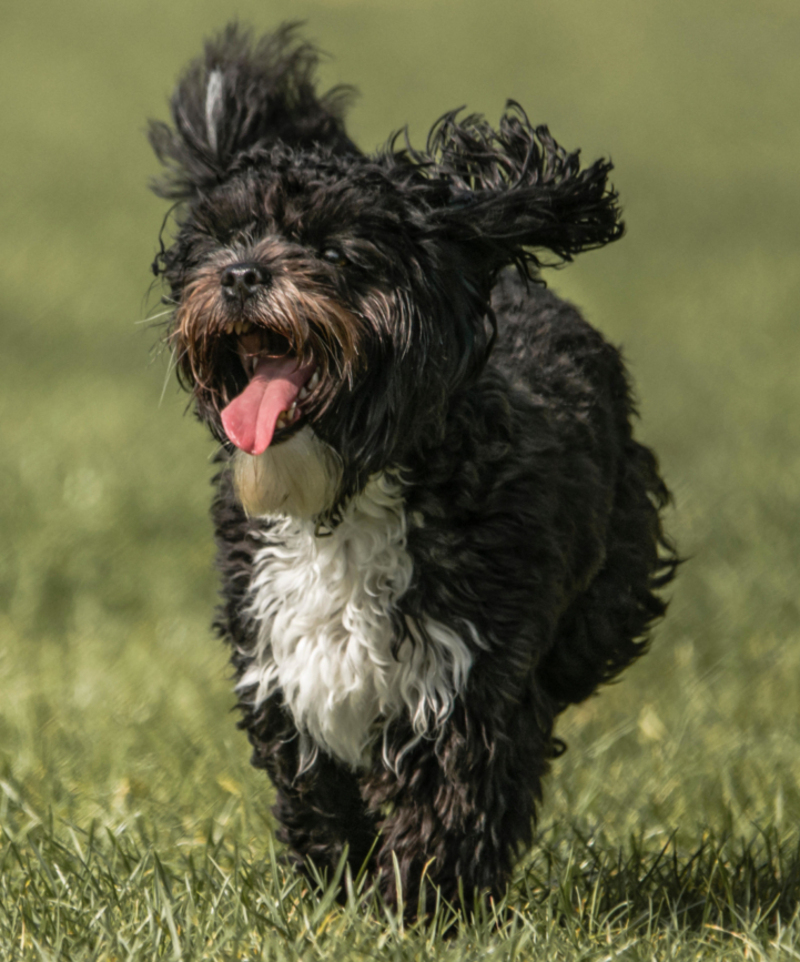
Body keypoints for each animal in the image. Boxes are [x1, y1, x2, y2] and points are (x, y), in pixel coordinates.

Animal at [145, 24, 676, 916]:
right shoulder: (283, 663)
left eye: (334, 250)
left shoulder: (463, 675)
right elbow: (317, 790)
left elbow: (453, 797)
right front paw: (337, 891)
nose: (242, 275)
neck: (344, 492)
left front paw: (414, 908)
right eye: (225, 238)